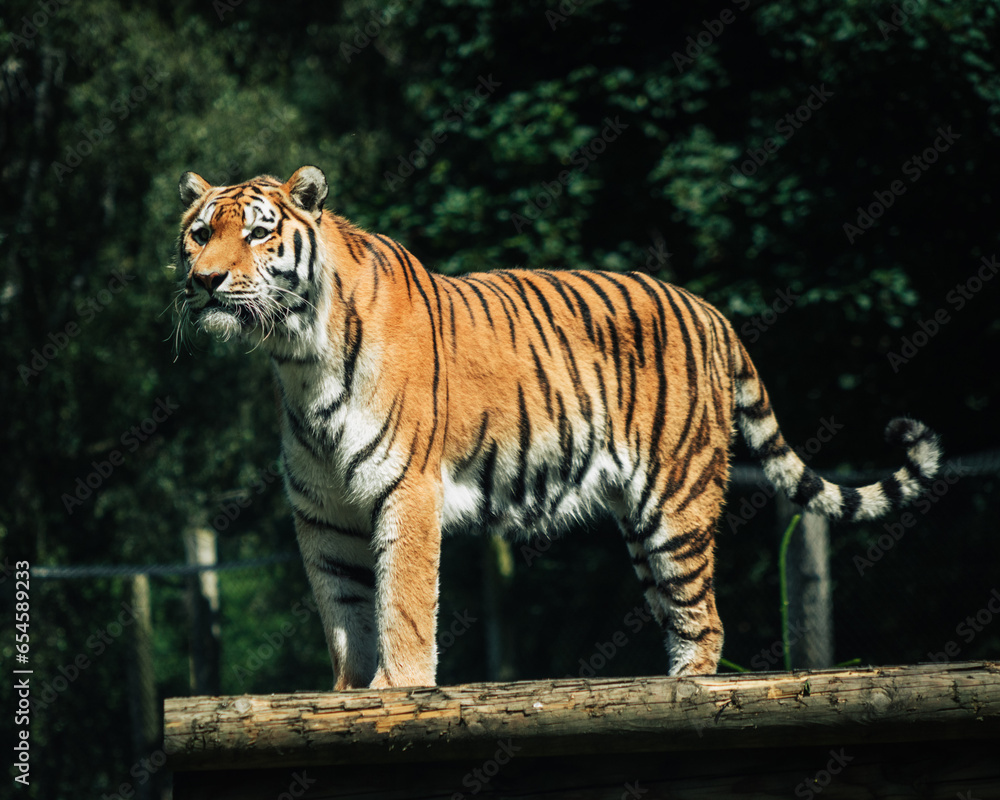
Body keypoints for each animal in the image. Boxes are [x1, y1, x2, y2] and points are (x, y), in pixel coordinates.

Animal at [175, 165, 942, 688]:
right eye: (200, 233)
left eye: (258, 234)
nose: (205, 282)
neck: (299, 356)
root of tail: (708, 309)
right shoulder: (323, 512)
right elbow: (344, 612)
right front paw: (348, 694)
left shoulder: (406, 489)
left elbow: (402, 602)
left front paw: (399, 689)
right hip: (641, 521)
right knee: (678, 612)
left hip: (677, 502)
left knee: (703, 617)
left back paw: (687, 692)